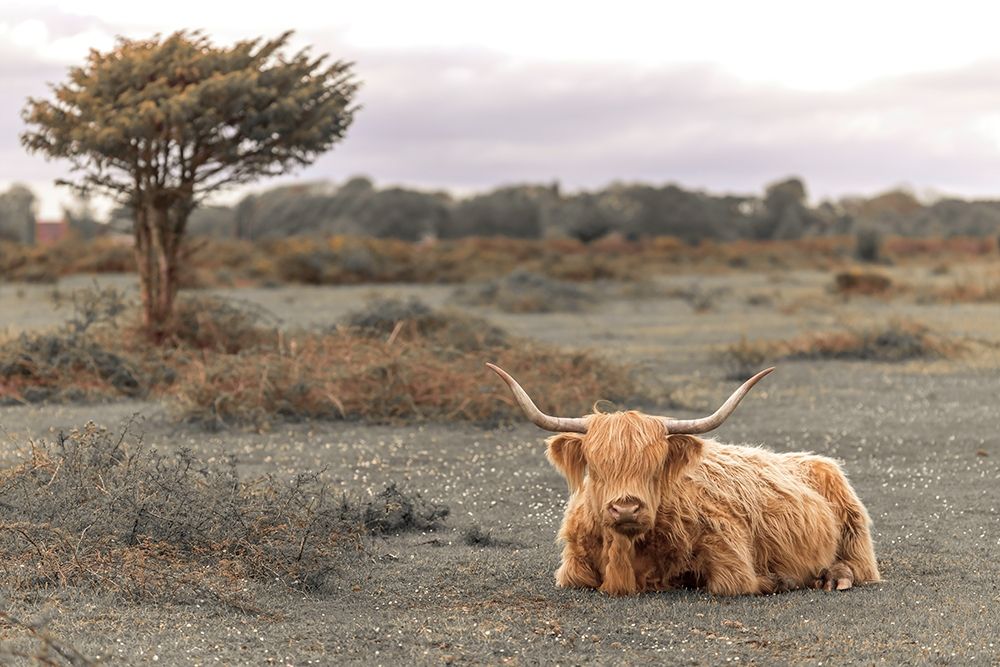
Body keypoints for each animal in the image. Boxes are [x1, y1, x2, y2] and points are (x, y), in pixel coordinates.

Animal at [486, 363, 880, 597]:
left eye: (655, 466)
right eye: (596, 467)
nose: (626, 508)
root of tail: (811, 458)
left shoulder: (731, 557)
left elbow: (730, 584)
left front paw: (777, 580)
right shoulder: (572, 568)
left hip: (853, 528)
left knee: (859, 566)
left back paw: (832, 578)